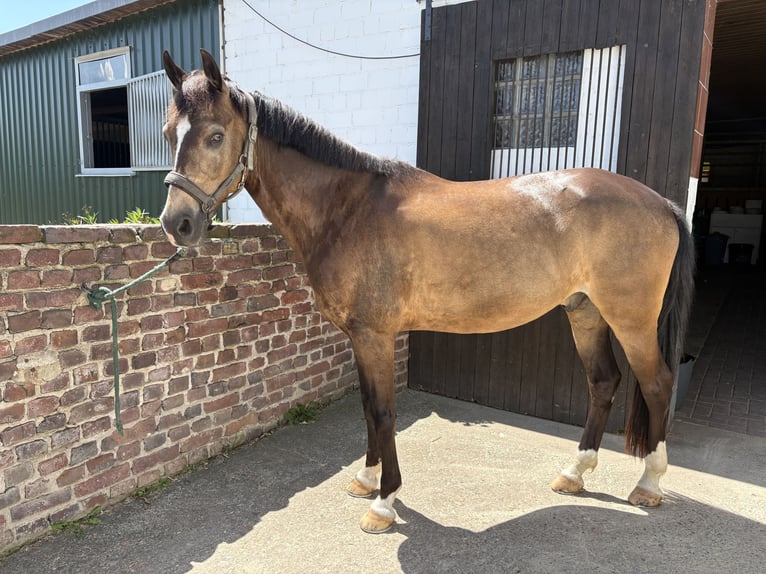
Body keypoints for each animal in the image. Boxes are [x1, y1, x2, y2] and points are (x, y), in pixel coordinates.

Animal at [159, 50, 695, 534]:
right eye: (168, 135)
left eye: (215, 135)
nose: (176, 223)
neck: (348, 210)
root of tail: (661, 202)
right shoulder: (360, 337)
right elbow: (367, 407)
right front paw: (366, 479)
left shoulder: (375, 336)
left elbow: (383, 411)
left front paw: (384, 502)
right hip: (585, 311)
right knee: (603, 382)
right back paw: (574, 473)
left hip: (631, 320)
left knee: (657, 384)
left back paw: (648, 484)